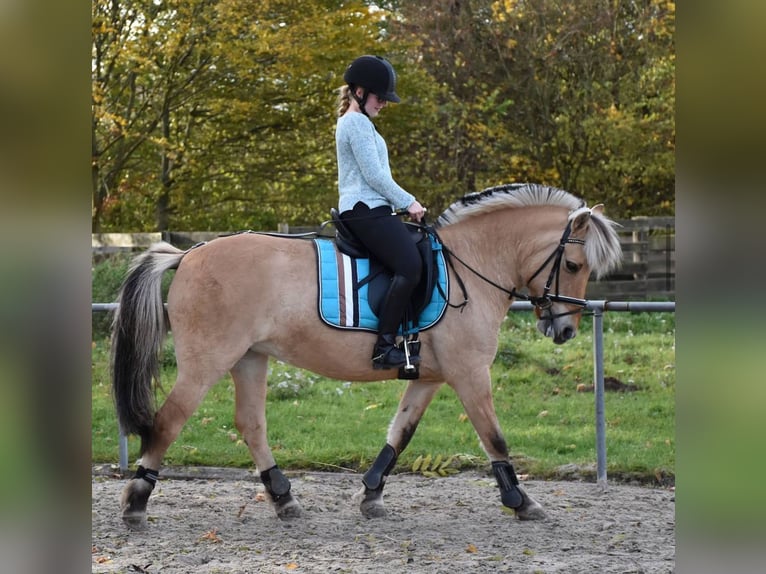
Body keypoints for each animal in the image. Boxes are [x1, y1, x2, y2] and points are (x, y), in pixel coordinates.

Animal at [111, 183, 620, 532]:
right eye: (573, 265)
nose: (564, 330)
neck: (472, 265)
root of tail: (188, 254)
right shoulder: (470, 373)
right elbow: (494, 439)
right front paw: (521, 501)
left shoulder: (430, 377)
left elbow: (401, 433)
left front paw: (372, 494)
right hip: (207, 361)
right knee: (170, 420)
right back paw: (136, 501)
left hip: (249, 358)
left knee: (250, 424)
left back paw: (283, 498)